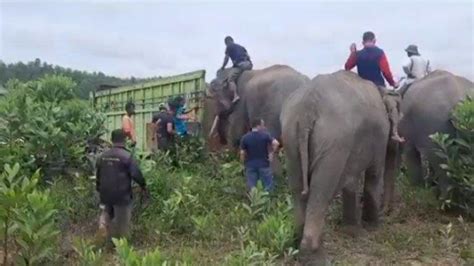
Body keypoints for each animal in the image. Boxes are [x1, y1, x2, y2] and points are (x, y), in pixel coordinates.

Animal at [282, 70, 388, 262]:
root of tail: (307, 109)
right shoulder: (380, 136)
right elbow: (374, 174)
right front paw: (373, 227)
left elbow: (350, 181)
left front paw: (352, 230)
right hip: (333, 140)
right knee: (321, 190)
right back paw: (317, 258)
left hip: (290, 135)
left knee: (298, 188)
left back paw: (298, 246)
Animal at [384, 70, 472, 210]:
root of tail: (459, 102)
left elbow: (410, 152)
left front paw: (415, 188)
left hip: (434, 122)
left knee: (439, 161)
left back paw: (443, 203)